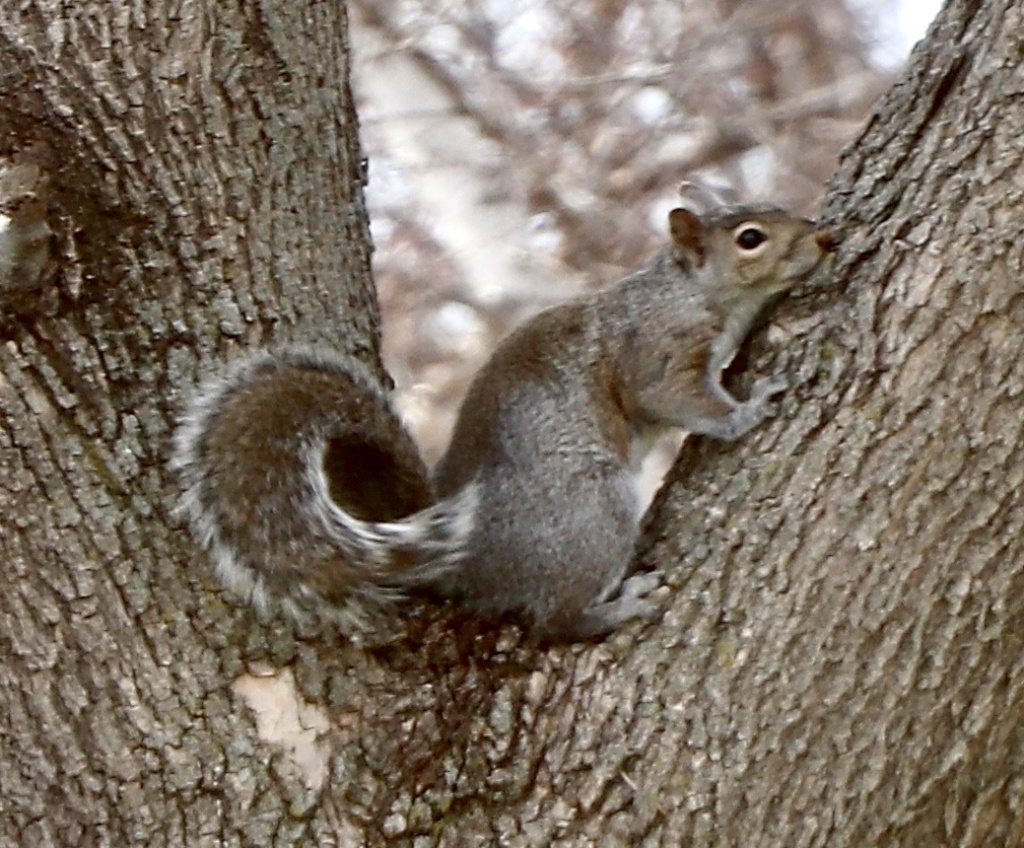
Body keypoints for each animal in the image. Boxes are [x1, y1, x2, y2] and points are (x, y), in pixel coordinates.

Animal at [172, 205, 835, 643]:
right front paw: (752, 407)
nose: (825, 238)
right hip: (590, 514)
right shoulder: (658, 352)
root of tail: (465, 559)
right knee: (552, 622)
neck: (686, 290)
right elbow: (676, 399)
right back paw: (613, 611)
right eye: (751, 238)